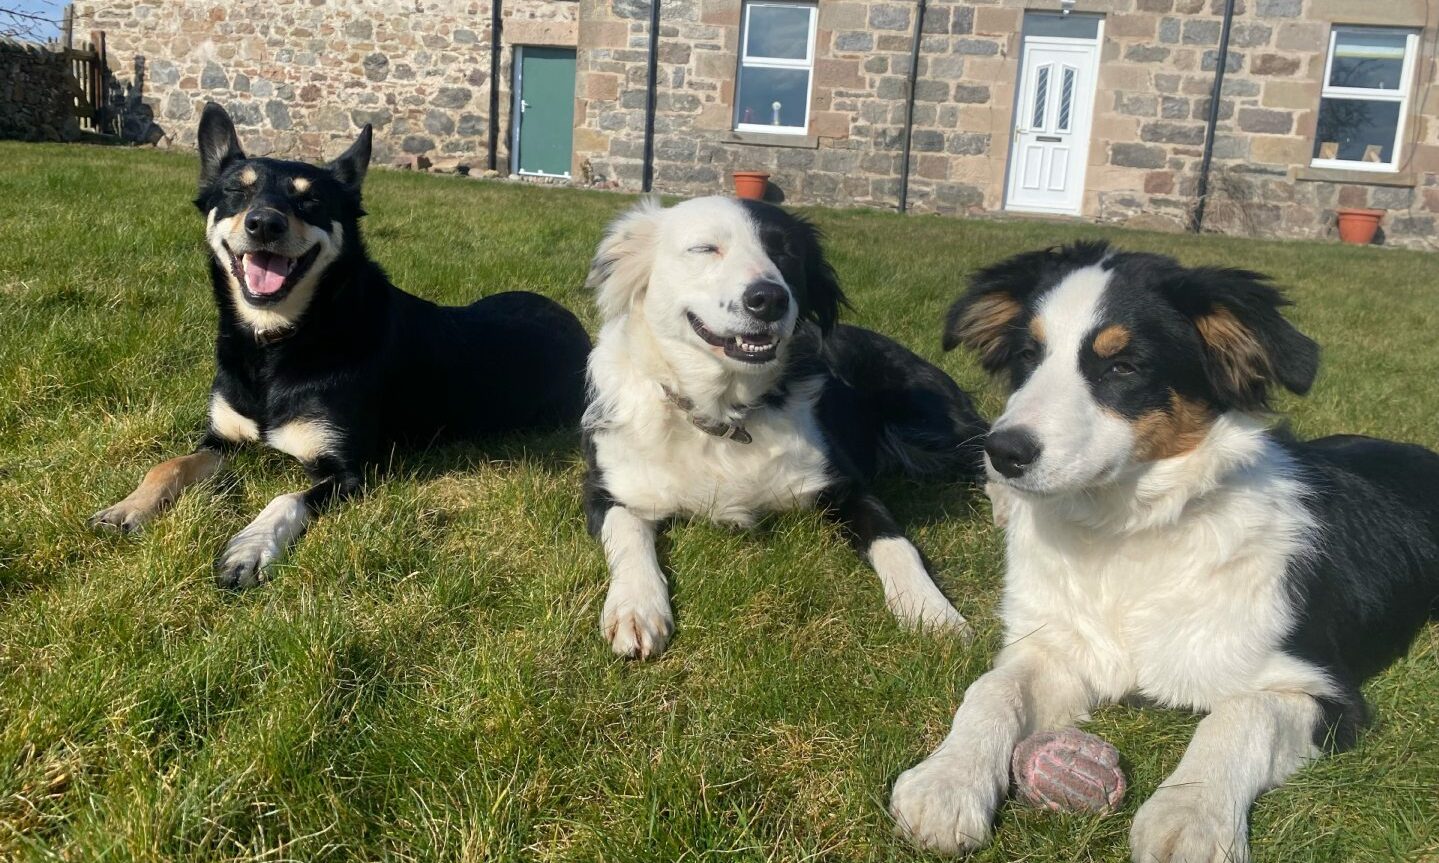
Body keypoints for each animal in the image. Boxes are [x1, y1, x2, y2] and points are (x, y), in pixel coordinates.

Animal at [88, 101, 589, 586]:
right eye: (236, 191)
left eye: (310, 198)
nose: (264, 224)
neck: (282, 339)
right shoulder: (220, 440)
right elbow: (170, 463)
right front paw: (128, 506)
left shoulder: (349, 469)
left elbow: (287, 497)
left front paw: (249, 548)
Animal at [578, 197, 984, 661]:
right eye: (705, 249)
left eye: (786, 251)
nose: (768, 299)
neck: (722, 414)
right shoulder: (605, 486)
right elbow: (627, 532)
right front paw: (635, 608)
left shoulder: (845, 483)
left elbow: (895, 541)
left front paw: (932, 611)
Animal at [886, 241, 1439, 863]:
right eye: (1028, 355)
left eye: (1123, 367)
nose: (1002, 453)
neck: (1124, 535)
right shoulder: (1057, 645)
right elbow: (993, 687)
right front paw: (946, 781)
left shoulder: (1325, 689)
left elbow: (1242, 712)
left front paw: (1191, 816)